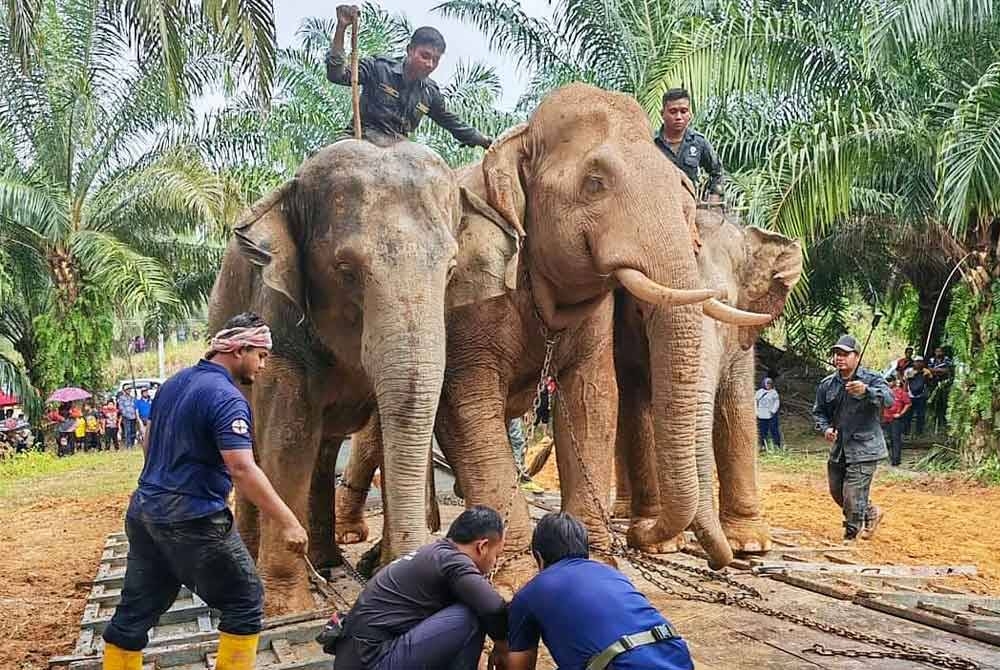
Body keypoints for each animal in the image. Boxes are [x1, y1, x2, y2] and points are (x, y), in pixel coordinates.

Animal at [211, 138, 512, 616]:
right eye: (346, 270)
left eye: (450, 271)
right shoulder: (278, 321)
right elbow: (289, 437)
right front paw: (287, 610)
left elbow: (390, 430)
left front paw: (380, 569)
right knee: (261, 450)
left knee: (323, 450)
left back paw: (327, 561)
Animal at [336, 84, 764, 580]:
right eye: (595, 182)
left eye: (683, 195)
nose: (641, 534)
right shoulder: (466, 288)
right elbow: (466, 402)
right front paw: (512, 574)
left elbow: (594, 399)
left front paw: (593, 559)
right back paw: (369, 551)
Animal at [608, 205, 804, 568]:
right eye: (640, 309)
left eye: (725, 304)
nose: (716, 563)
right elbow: (637, 412)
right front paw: (659, 542)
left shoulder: (742, 344)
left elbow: (737, 410)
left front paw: (750, 544)